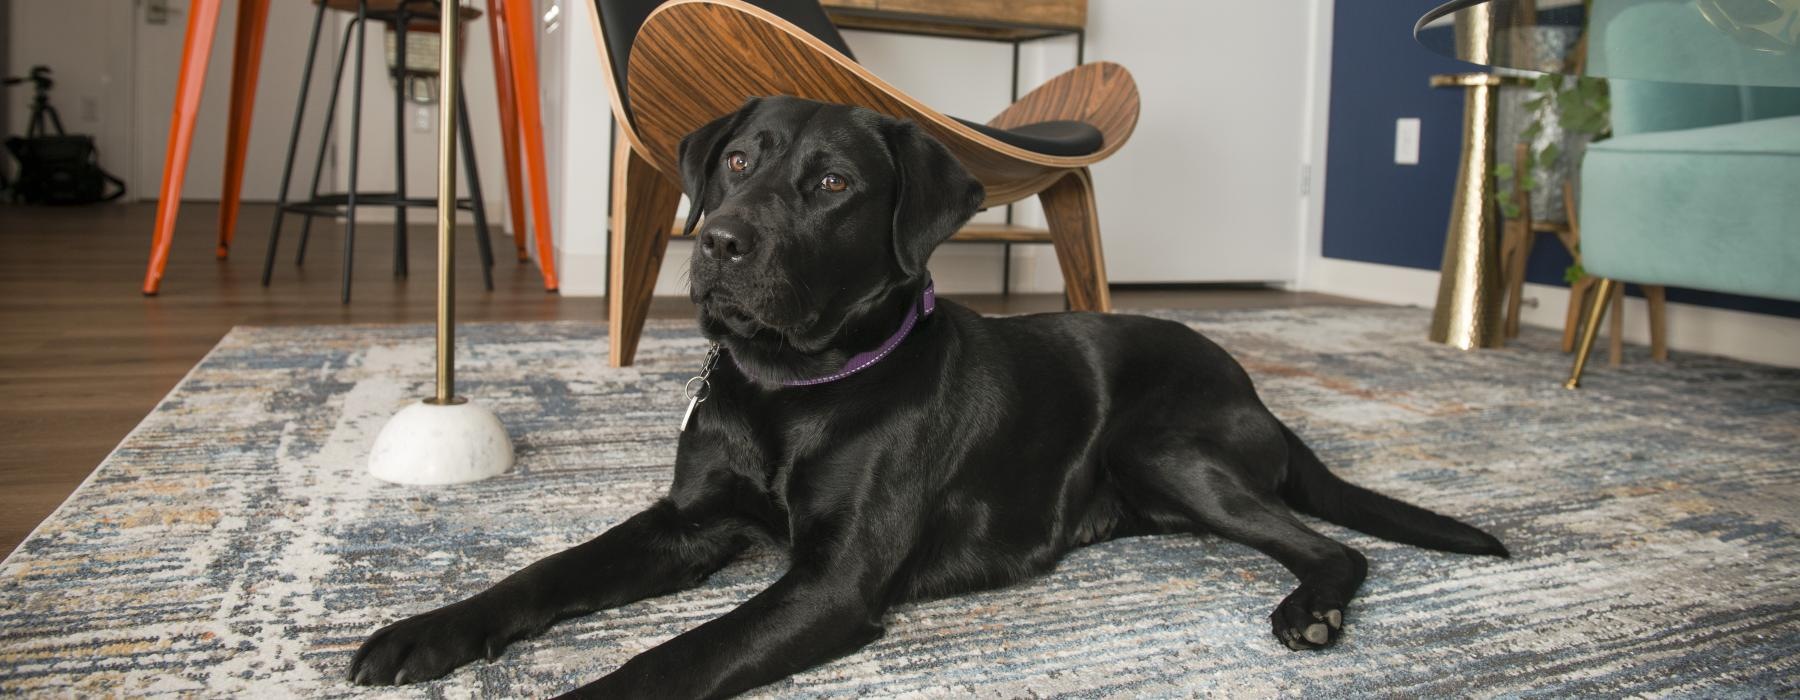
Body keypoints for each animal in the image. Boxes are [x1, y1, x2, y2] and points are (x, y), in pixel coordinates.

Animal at [347, 95, 1504, 694]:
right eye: (735, 162)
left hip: (1165, 445)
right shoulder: (687, 523)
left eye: (830, 185)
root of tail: (1255, 387)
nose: (718, 242)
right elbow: (545, 571)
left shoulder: (831, 583)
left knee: (1332, 545)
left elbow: (675, 657)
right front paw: (427, 631)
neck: (790, 387)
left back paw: (1311, 608)